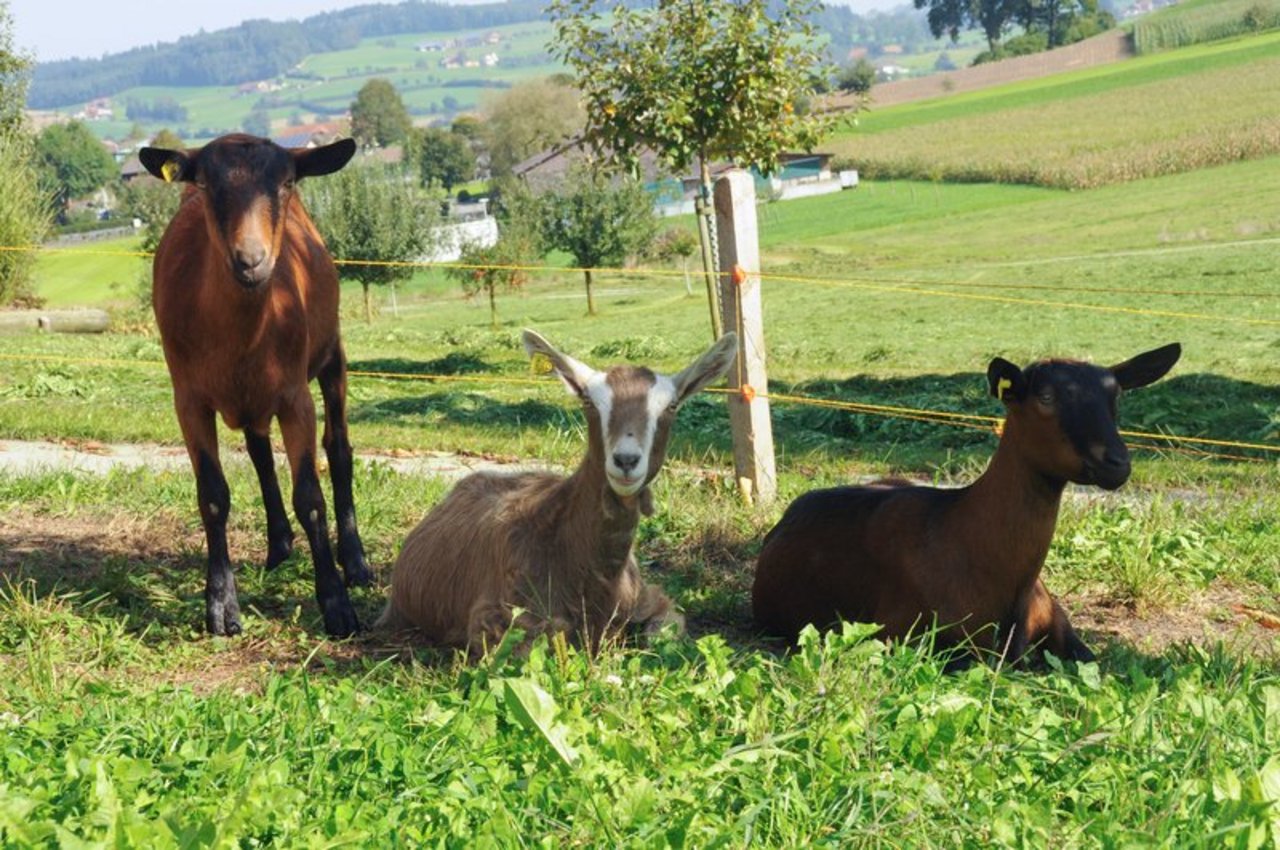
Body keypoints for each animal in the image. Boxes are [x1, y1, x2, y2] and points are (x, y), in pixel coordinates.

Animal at [140, 133, 371, 637]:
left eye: (286, 183)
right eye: (205, 184)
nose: (251, 260)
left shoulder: (294, 396)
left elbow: (310, 497)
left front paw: (336, 604)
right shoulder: (188, 400)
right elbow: (212, 496)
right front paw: (221, 606)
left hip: (331, 355)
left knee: (339, 447)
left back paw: (356, 562)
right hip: (249, 394)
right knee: (260, 451)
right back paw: (278, 546)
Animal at [378, 327, 737, 652]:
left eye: (672, 406)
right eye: (589, 401)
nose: (625, 460)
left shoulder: (650, 599)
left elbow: (666, 629)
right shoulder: (494, 621)